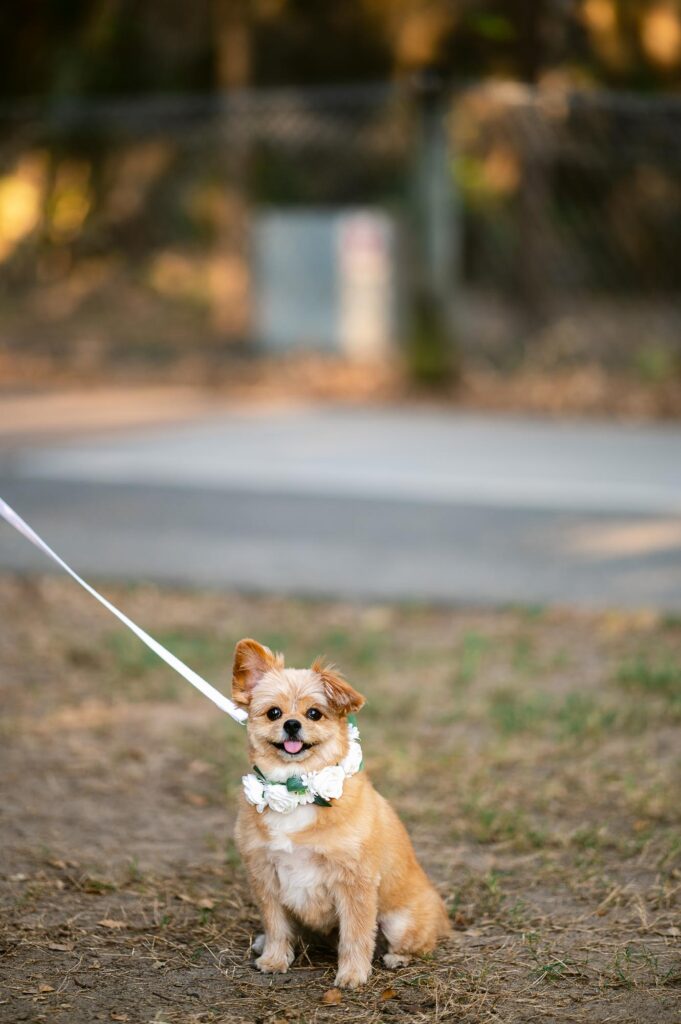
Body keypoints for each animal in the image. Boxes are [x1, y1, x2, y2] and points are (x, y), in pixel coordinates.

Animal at [231, 634, 448, 987]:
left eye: (314, 713)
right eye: (274, 713)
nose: (292, 724)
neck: (298, 789)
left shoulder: (355, 883)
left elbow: (356, 935)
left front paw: (352, 975)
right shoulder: (265, 876)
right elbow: (276, 925)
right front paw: (275, 959)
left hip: (400, 920)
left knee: (418, 942)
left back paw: (397, 957)